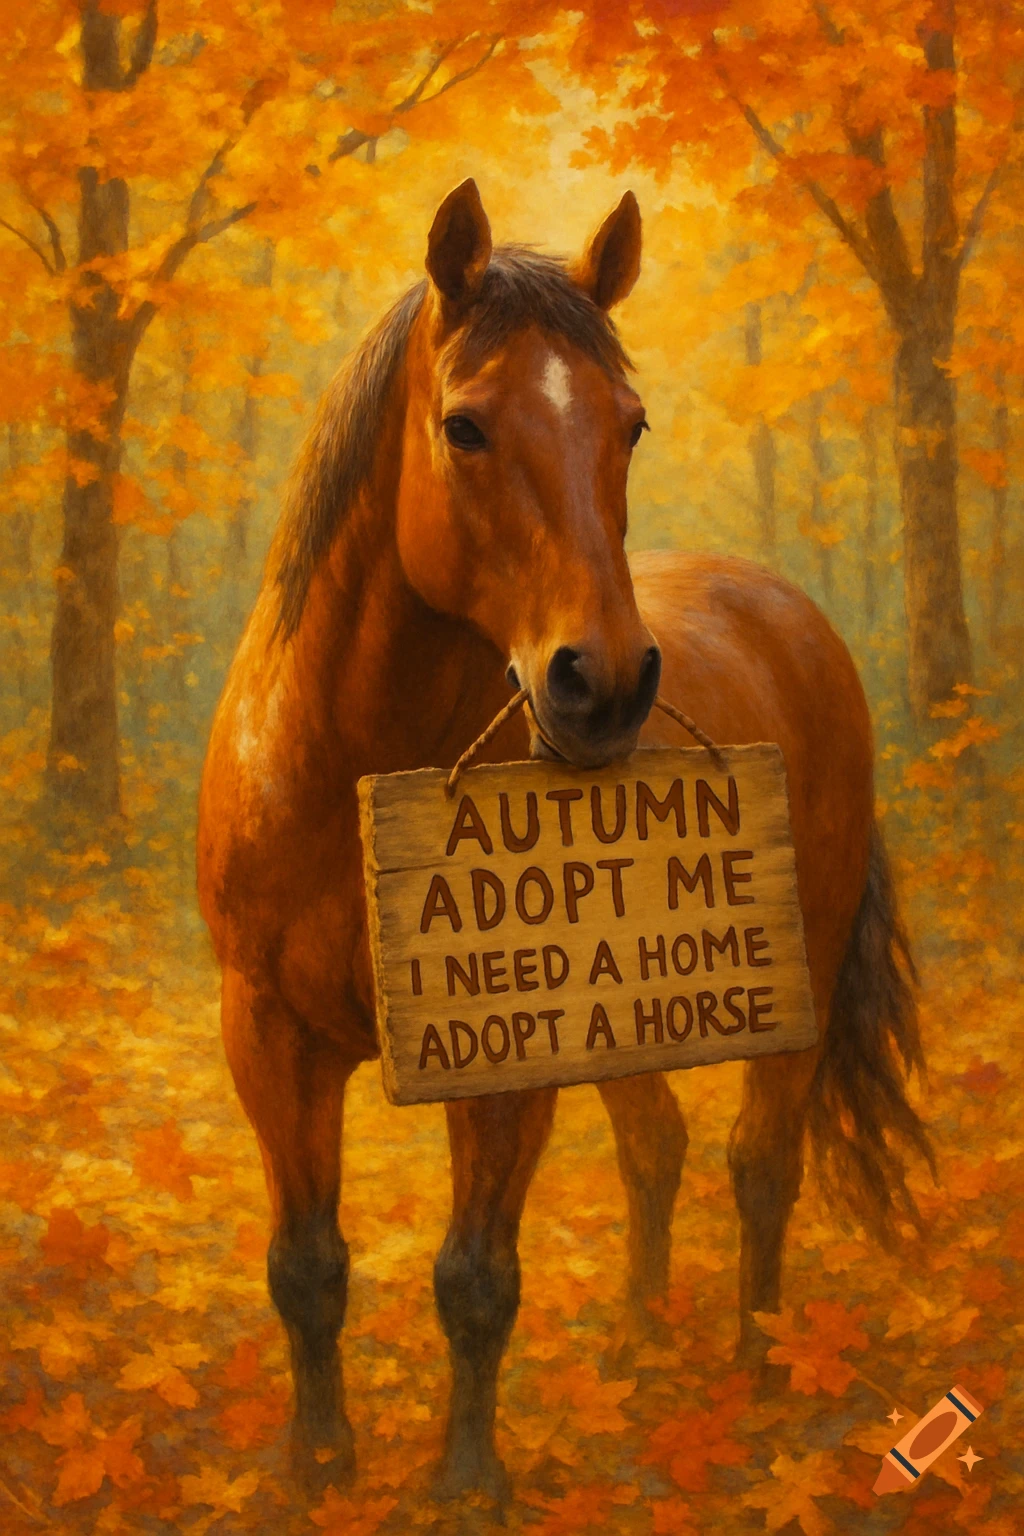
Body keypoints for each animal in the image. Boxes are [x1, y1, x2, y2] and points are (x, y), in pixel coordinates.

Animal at [197, 180, 930, 1501]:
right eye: (465, 428)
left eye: (629, 427)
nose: (607, 684)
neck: (347, 778)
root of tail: (786, 610)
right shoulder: (269, 1039)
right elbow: (306, 1265)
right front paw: (319, 1462)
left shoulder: (502, 1059)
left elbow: (476, 1279)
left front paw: (468, 1490)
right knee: (657, 1147)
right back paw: (640, 1341)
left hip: (786, 989)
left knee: (760, 1160)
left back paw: (758, 1363)